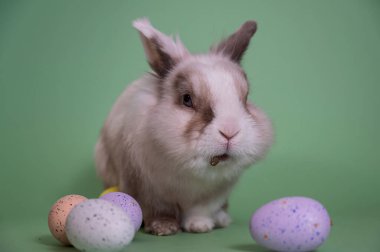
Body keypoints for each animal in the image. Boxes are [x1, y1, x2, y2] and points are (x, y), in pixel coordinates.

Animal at [95, 18, 274, 236]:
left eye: (245, 99)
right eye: (187, 99)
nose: (230, 132)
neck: (190, 170)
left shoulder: (215, 193)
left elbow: (201, 210)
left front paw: (200, 226)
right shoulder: (146, 187)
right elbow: (159, 209)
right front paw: (164, 228)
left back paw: (222, 219)